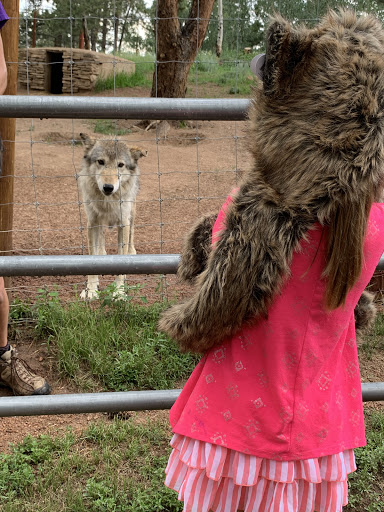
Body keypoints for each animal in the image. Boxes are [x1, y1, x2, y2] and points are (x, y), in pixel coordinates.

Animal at [78, 133, 147, 300]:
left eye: (120, 165)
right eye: (101, 162)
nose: (108, 187)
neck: (108, 201)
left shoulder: (124, 224)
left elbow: (121, 261)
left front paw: (119, 292)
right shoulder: (92, 222)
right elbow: (91, 258)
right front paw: (91, 290)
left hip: (132, 213)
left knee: (132, 235)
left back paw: (131, 252)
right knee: (101, 240)